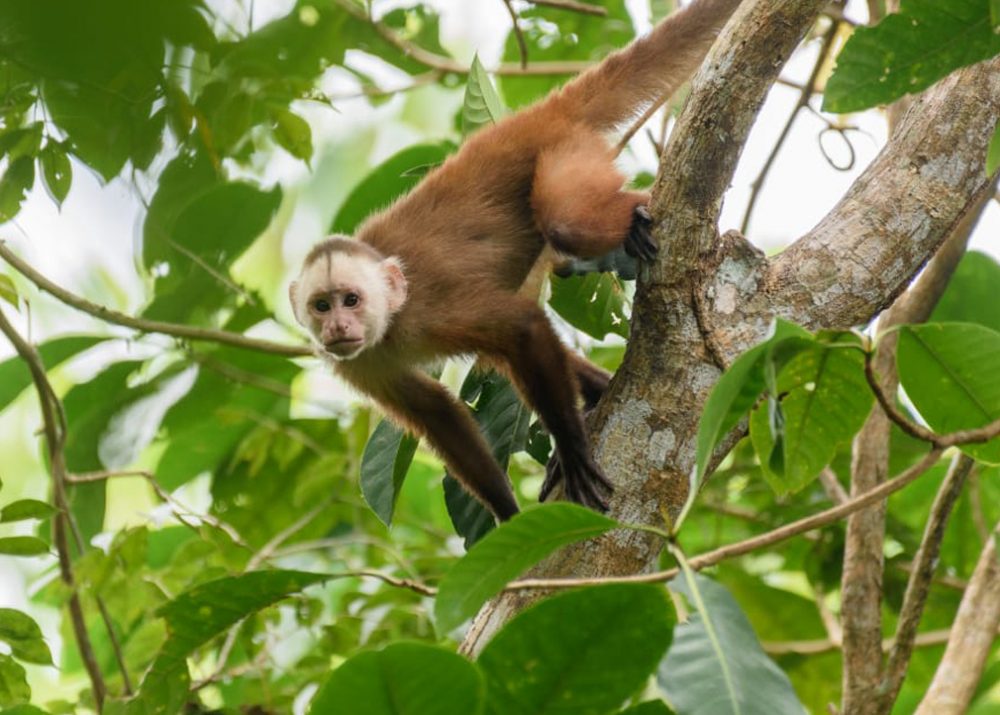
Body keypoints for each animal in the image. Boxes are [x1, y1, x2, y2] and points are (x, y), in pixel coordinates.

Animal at [290, 1, 744, 524]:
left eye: (351, 299)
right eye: (322, 306)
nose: (337, 326)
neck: (391, 320)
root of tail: (533, 117)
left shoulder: (431, 307)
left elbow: (522, 328)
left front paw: (571, 450)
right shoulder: (357, 364)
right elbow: (436, 413)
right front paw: (506, 513)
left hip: (570, 152)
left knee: (566, 223)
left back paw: (641, 216)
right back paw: (599, 391)